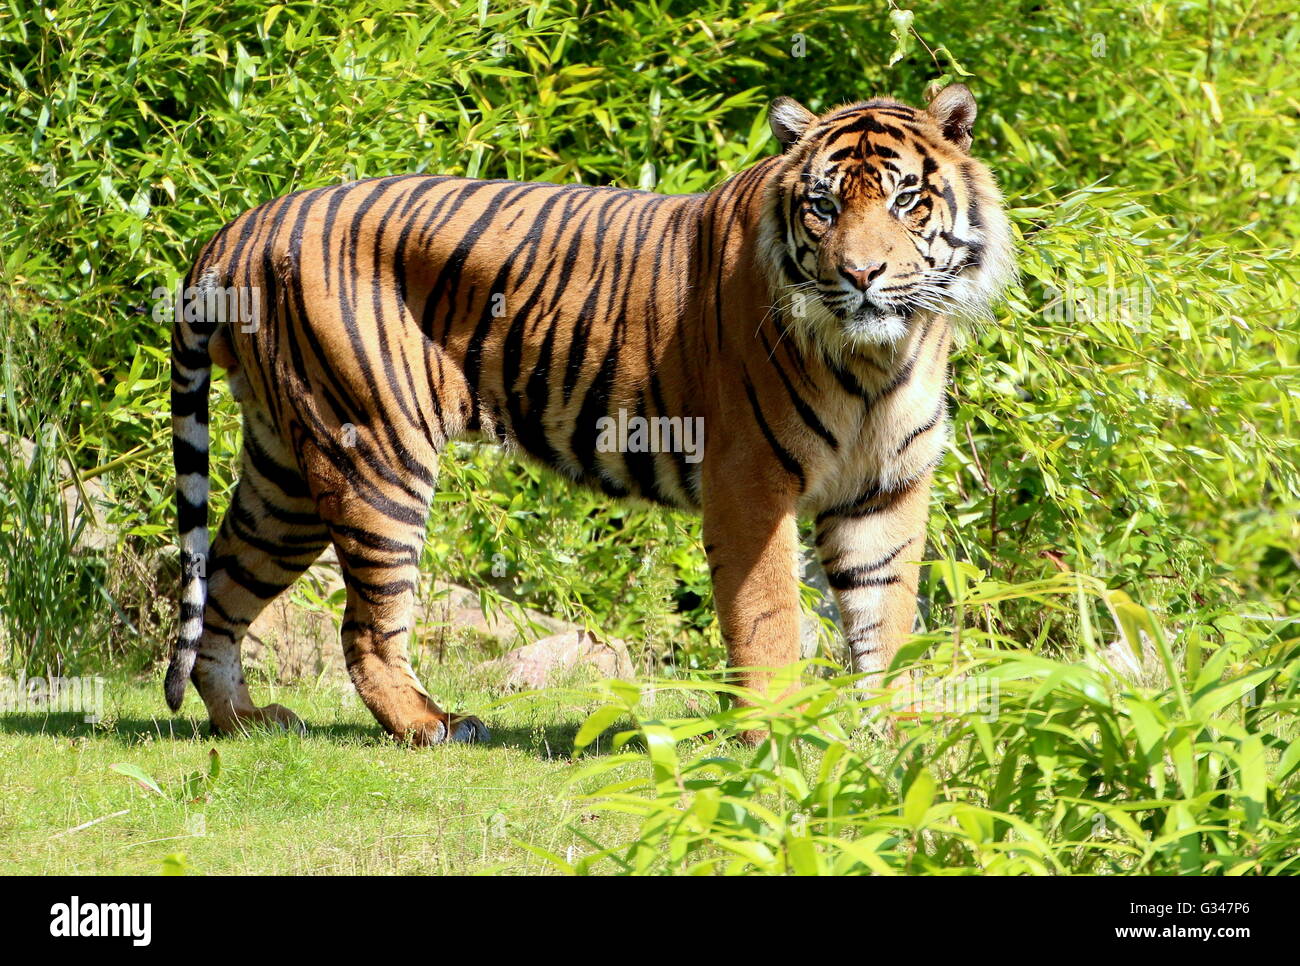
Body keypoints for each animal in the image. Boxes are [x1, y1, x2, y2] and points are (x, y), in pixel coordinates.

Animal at [165, 87, 1013, 743]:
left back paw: (246, 722)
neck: (879, 357)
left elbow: (885, 615)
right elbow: (768, 616)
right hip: (373, 451)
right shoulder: (750, 484)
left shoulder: (885, 488)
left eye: (906, 200)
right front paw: (780, 734)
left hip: (285, 475)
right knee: (365, 629)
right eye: (823, 206)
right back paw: (433, 725)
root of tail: (242, 225)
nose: (862, 275)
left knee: (226, 587)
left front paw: (895, 731)